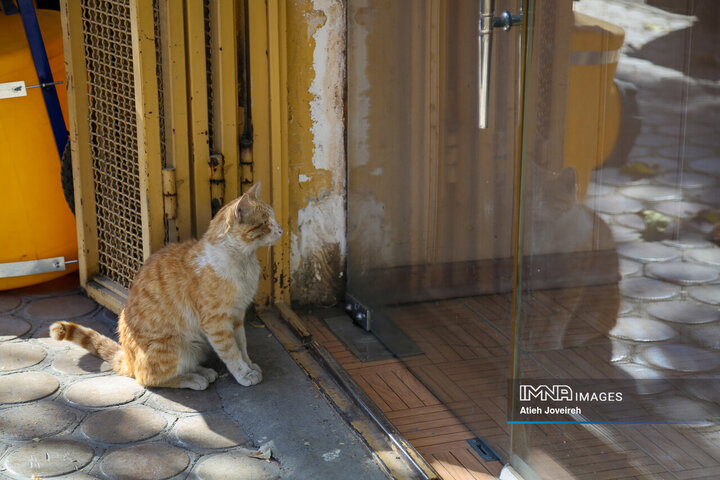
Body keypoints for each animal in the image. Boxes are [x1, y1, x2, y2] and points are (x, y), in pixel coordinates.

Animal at [48, 184, 282, 390]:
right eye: (265, 222)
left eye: (274, 218)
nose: (280, 230)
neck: (243, 262)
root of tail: (128, 359)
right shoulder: (216, 323)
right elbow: (231, 352)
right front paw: (243, 373)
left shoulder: (237, 316)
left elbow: (242, 345)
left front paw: (249, 366)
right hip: (175, 347)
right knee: (148, 378)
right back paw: (194, 379)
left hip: (196, 345)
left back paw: (202, 371)